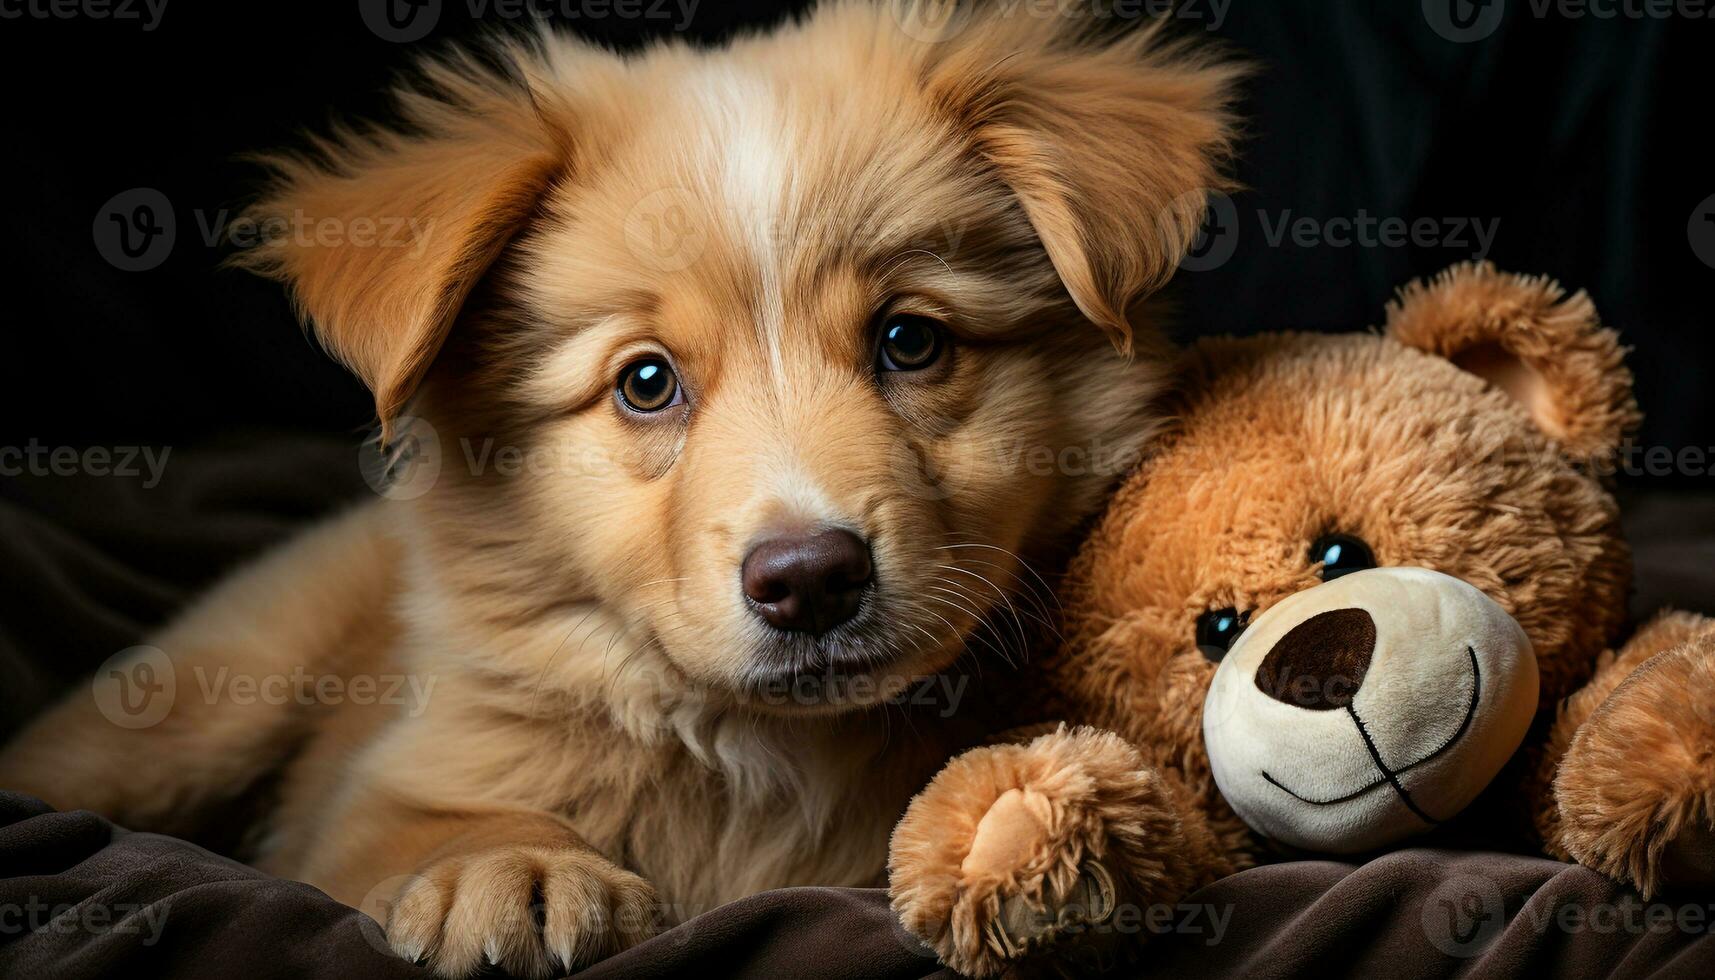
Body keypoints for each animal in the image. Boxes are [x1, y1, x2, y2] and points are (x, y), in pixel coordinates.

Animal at [0, 3, 1241, 974]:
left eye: (910, 340)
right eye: (645, 382)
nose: (809, 579)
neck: (756, 751)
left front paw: (1033, 827)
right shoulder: (357, 804)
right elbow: (406, 827)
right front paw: (506, 862)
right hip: (199, 699)